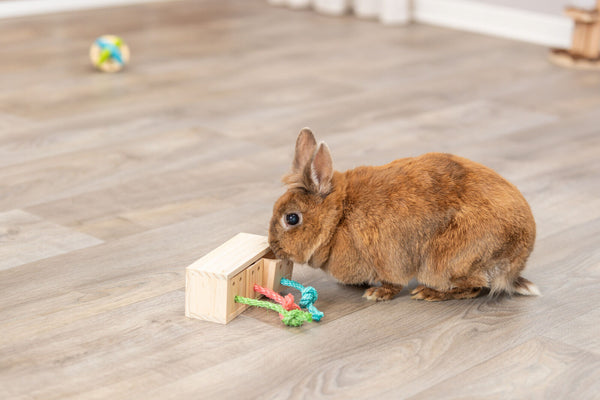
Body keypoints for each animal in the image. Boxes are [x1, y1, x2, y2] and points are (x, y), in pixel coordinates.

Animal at [268, 128, 540, 300]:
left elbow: (393, 283)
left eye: (291, 218)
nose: (273, 247)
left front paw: (376, 294)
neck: (338, 219)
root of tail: (513, 265)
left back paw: (427, 293)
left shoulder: (387, 257)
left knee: (474, 288)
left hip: (447, 264)